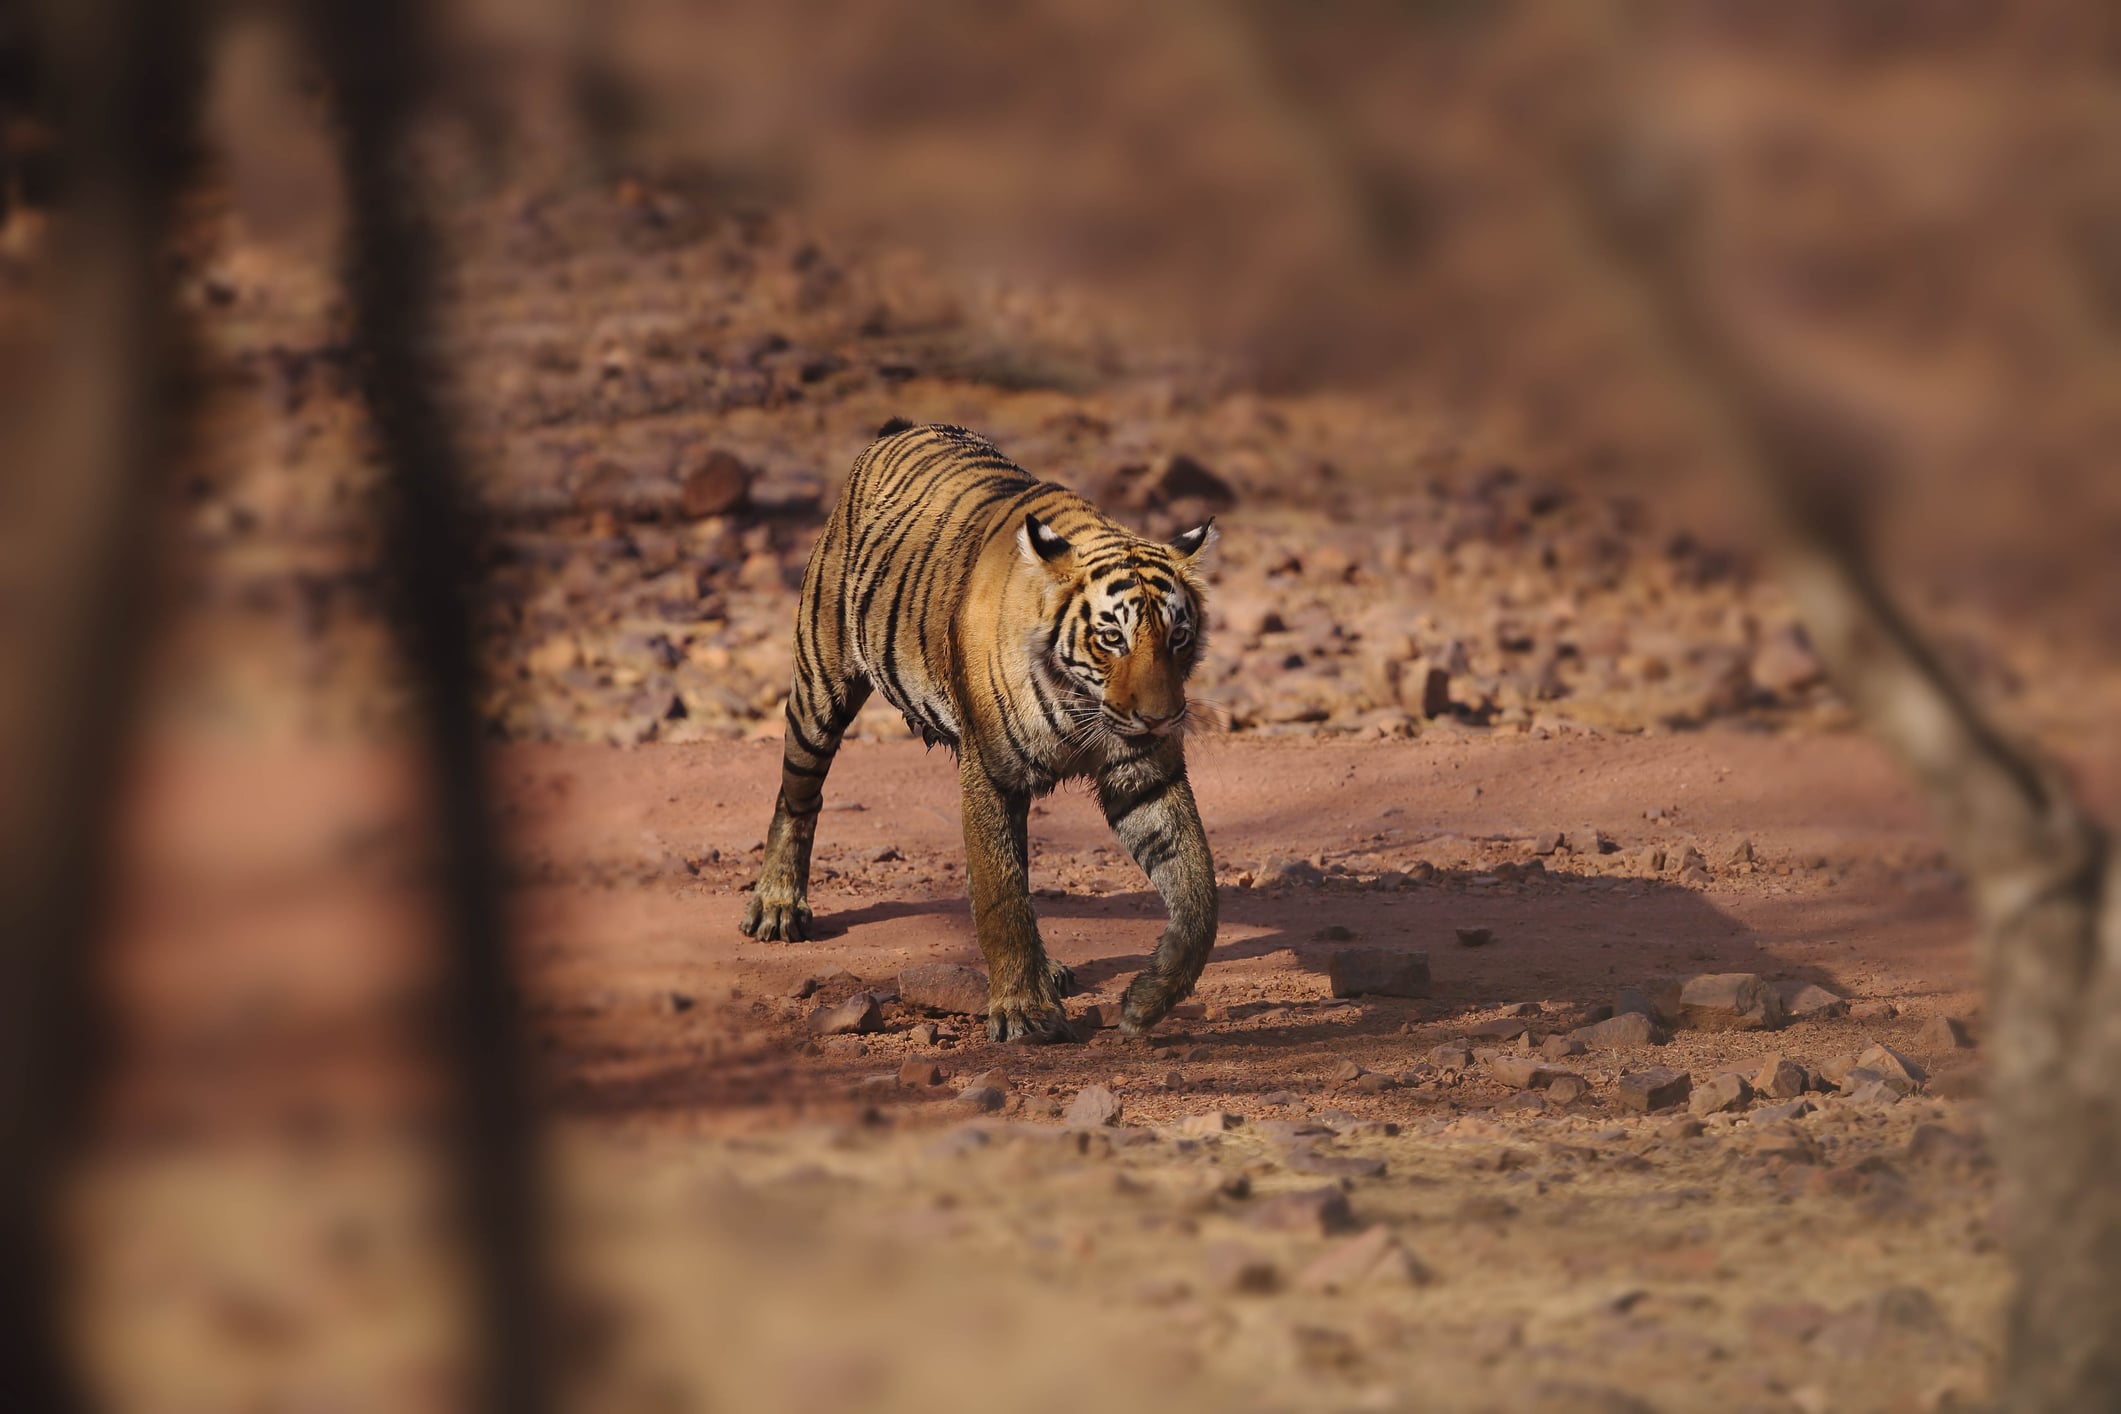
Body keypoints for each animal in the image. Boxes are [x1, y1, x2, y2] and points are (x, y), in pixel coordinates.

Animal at [740, 419, 1220, 1043]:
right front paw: (1024, 1011)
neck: (1079, 702)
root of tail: (903, 428)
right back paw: (777, 905)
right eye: (1112, 638)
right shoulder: (991, 771)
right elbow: (1001, 896)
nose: (1162, 718)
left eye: (1178, 637)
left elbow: (1198, 890)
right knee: (798, 795)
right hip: (819, 688)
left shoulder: (1145, 773)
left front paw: (1146, 1003)